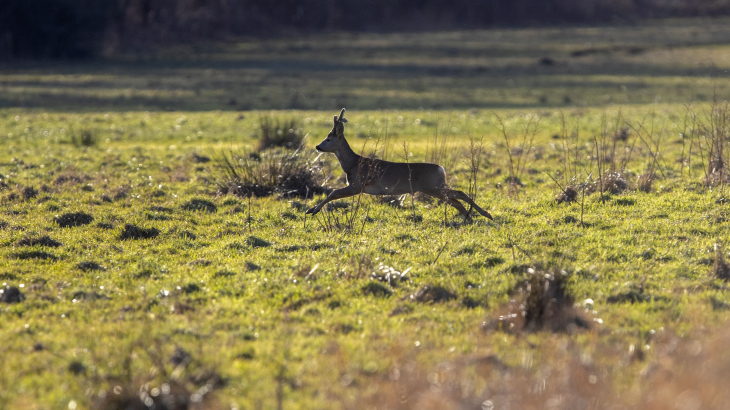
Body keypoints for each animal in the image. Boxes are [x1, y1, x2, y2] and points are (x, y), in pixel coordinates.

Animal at [304, 106, 492, 221]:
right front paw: (312, 210)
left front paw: (312, 210)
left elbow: (333, 193)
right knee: (457, 198)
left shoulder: (358, 184)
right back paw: (472, 218)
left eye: (328, 139)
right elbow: (333, 193)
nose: (318, 146)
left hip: (432, 186)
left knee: (458, 195)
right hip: (435, 187)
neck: (352, 163)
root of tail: (441, 169)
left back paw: (483, 215)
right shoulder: (358, 186)